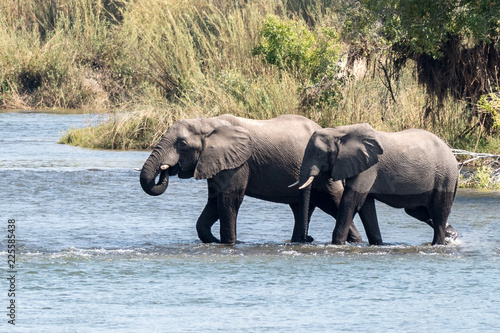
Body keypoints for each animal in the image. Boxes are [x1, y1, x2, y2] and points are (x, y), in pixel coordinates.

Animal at [141, 114, 364, 244]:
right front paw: (214, 241)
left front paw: (230, 243)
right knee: (305, 207)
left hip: (326, 173)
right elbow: (213, 202)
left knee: (334, 200)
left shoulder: (239, 163)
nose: (166, 170)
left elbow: (229, 199)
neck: (208, 121)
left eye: (182, 144)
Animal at [294, 123, 458, 245]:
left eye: (319, 153)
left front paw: (336, 244)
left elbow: (351, 201)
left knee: (438, 212)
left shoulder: (369, 168)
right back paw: (452, 235)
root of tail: (454, 158)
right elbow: (366, 206)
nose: (308, 238)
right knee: (418, 211)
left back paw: (439, 243)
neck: (340, 131)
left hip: (445, 176)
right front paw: (377, 244)